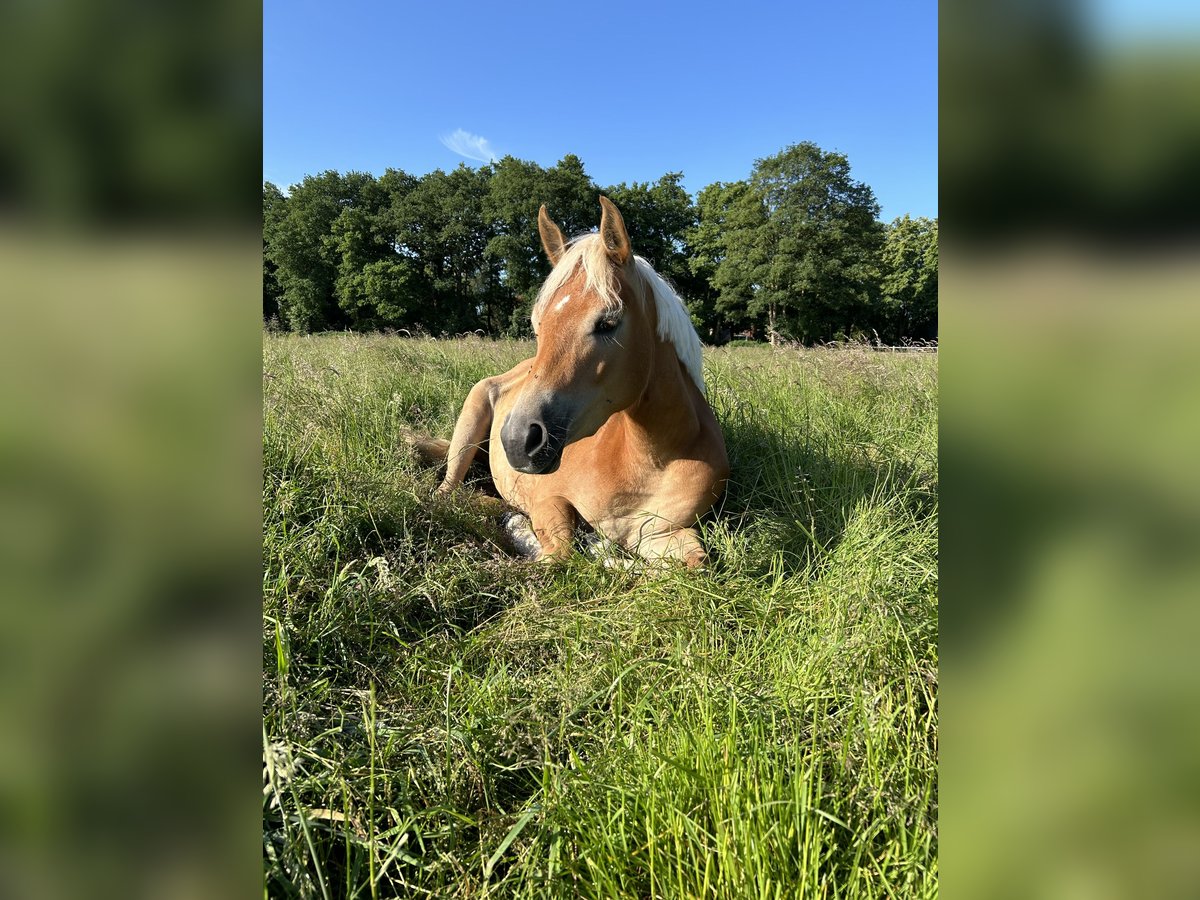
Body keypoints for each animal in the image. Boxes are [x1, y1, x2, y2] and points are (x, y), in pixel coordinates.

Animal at [417, 196, 729, 568]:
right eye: (537, 325)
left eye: (608, 322)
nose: (517, 440)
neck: (649, 460)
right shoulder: (548, 500)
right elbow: (562, 552)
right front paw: (522, 530)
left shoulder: (664, 533)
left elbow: (695, 565)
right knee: (450, 492)